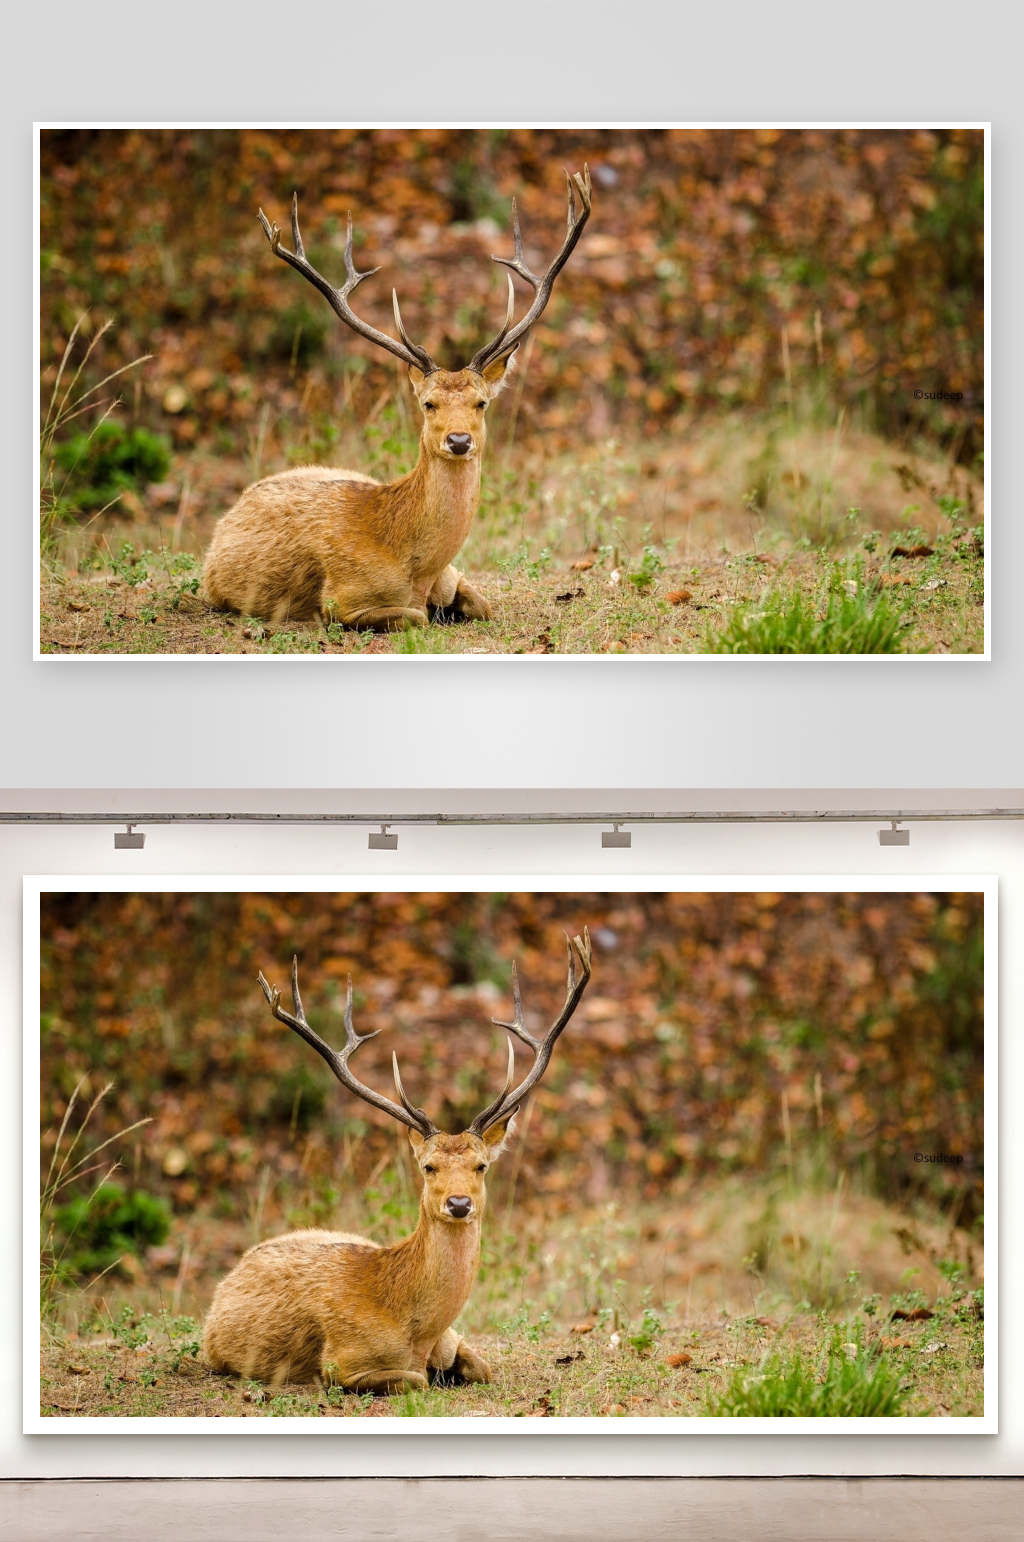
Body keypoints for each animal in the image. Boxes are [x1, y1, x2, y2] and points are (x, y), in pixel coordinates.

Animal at [201, 167, 593, 631]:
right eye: (428, 404)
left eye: (481, 403)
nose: (458, 441)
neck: (417, 569)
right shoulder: (342, 600)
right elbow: (415, 617)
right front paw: (431, 613)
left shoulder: (454, 574)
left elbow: (483, 604)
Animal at [202, 930, 592, 1394]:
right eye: (428, 1167)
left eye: (481, 1166)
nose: (458, 1203)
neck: (416, 1332)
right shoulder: (342, 1364)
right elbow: (415, 1380)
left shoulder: (454, 1337)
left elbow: (483, 1367)